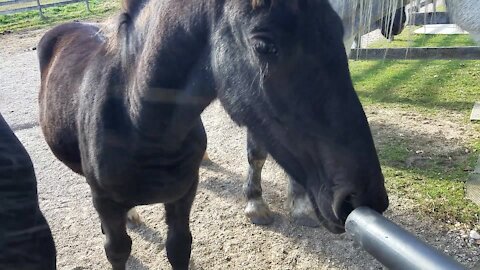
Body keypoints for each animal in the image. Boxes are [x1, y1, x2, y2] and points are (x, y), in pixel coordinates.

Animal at [38, 1, 390, 268]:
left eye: (337, 30)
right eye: (265, 45)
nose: (364, 197)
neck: (137, 123)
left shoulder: (183, 195)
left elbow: (179, 247)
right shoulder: (107, 205)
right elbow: (117, 249)